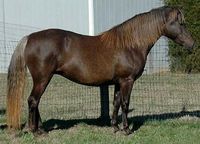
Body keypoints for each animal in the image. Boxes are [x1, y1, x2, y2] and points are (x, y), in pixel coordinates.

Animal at [6, 6, 194, 135]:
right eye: (179, 23)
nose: (192, 44)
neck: (130, 44)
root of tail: (30, 37)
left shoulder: (119, 82)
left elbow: (116, 103)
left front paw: (115, 127)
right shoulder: (127, 81)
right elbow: (125, 104)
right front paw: (126, 130)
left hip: (43, 79)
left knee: (36, 102)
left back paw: (41, 129)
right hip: (42, 78)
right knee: (33, 100)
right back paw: (35, 131)